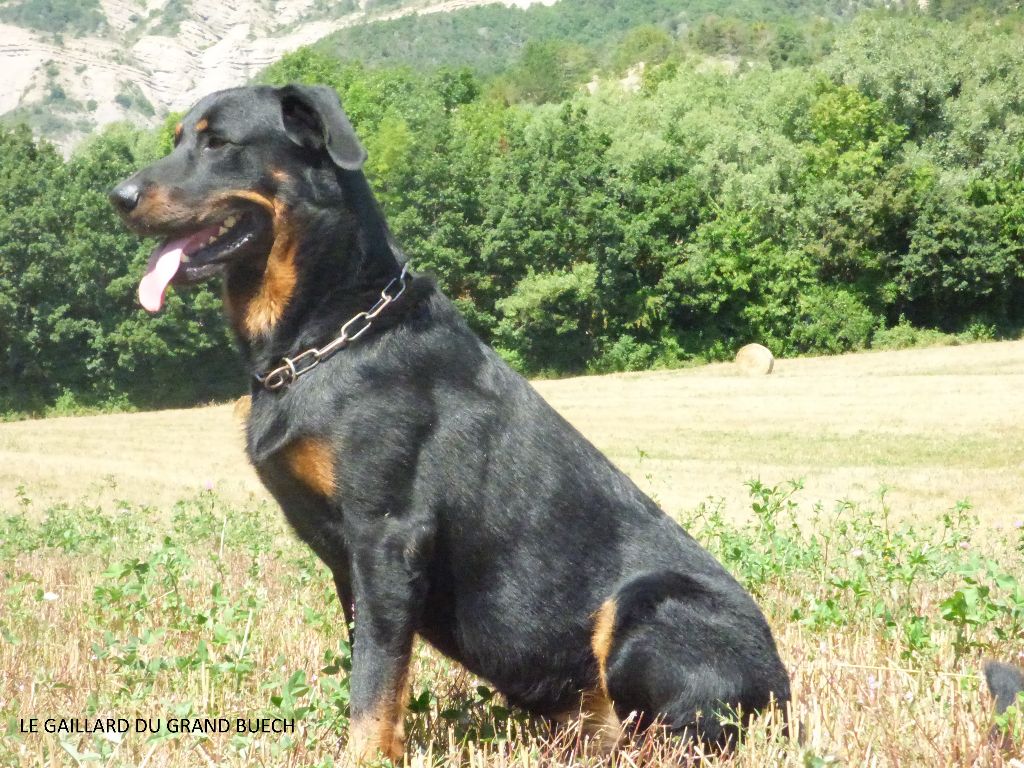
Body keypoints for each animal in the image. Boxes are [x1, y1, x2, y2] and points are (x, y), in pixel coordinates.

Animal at [110, 84, 791, 761]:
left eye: (218, 143)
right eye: (177, 139)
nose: (119, 196)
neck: (328, 335)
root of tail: (783, 691)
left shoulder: (388, 534)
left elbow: (375, 680)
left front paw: (365, 753)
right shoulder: (352, 564)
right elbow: (371, 665)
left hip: (646, 605)